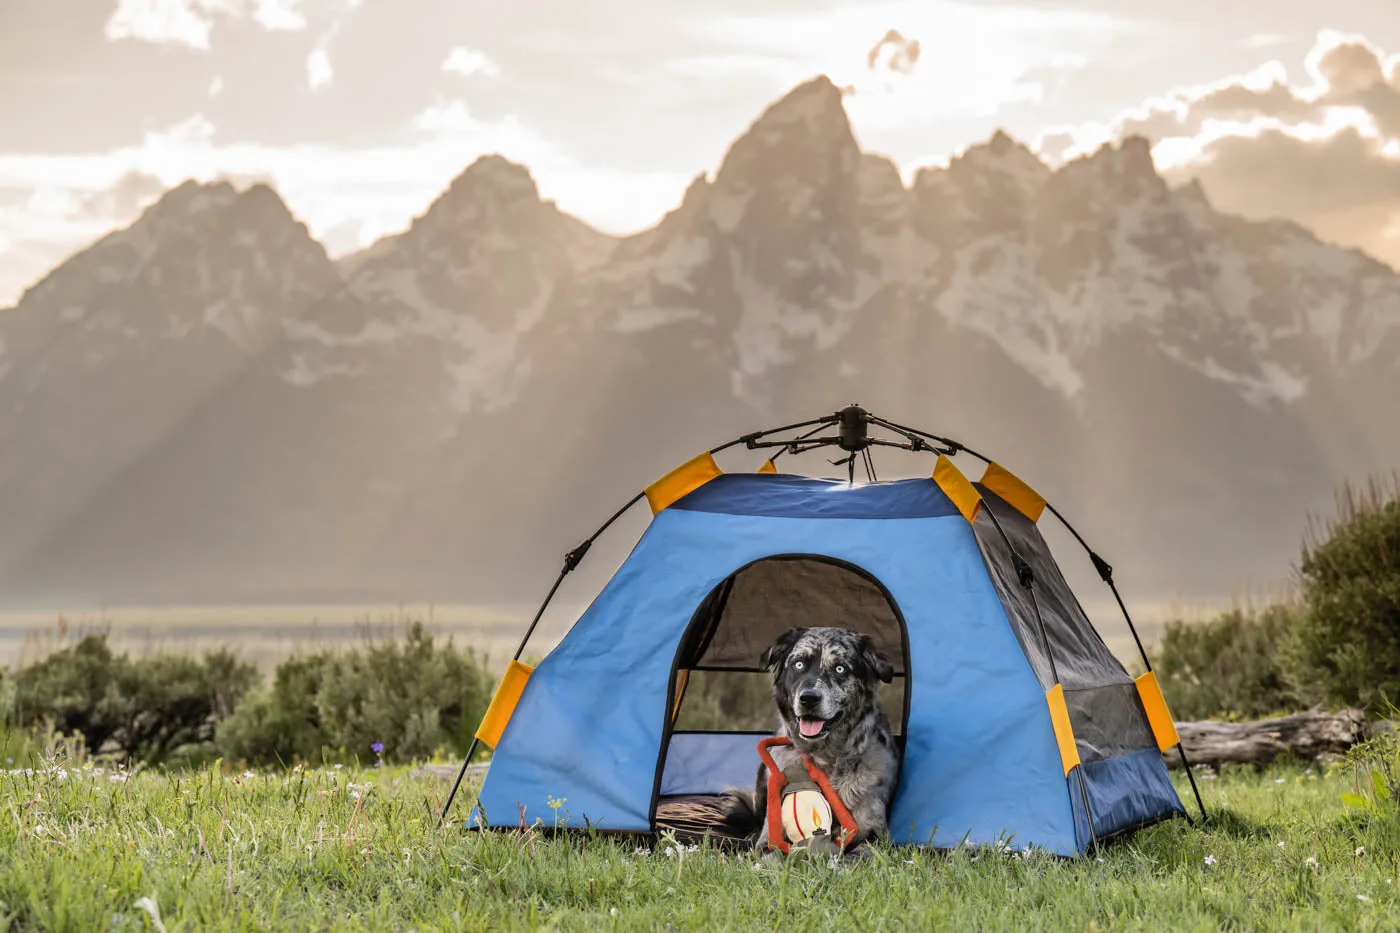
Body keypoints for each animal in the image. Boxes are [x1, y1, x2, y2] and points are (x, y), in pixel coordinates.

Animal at [722, 624, 896, 857]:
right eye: (799, 664)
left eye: (840, 668)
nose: (809, 698)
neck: (825, 757)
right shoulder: (771, 837)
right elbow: (772, 853)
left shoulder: (875, 835)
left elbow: (856, 855)